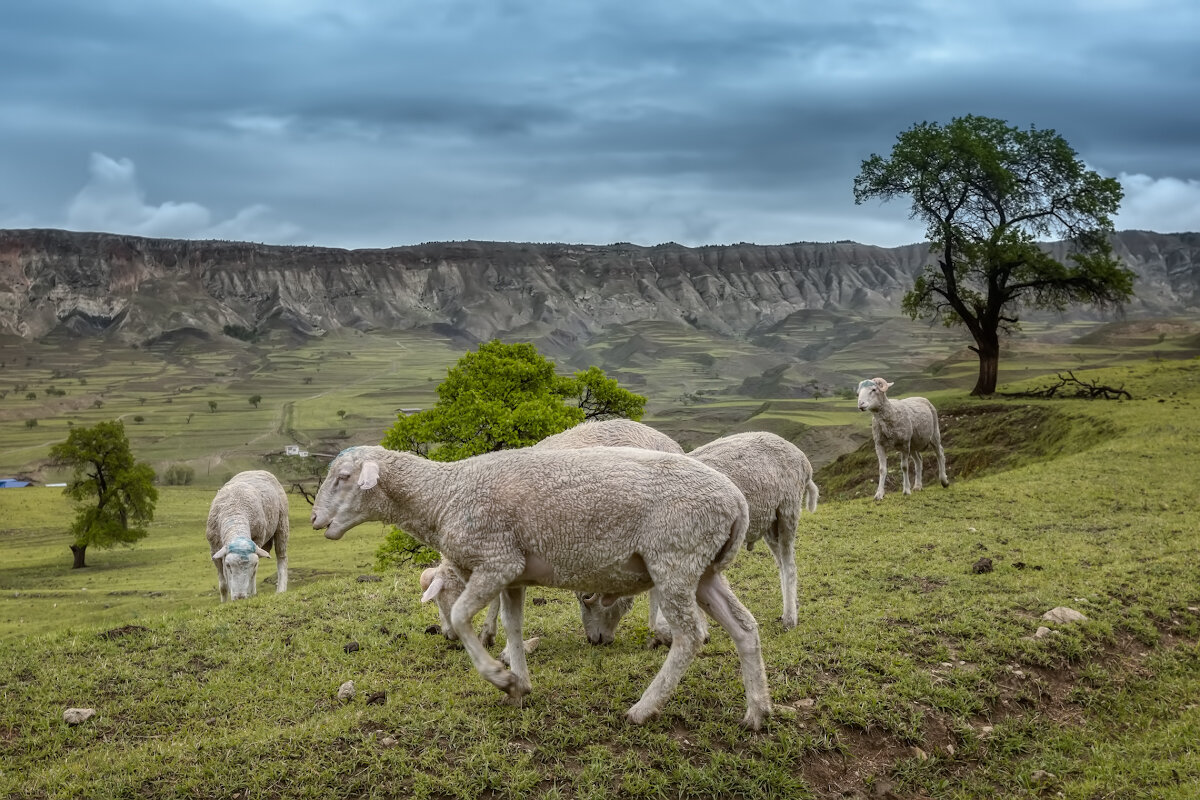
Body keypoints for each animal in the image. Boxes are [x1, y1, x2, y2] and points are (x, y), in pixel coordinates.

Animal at [206, 470, 290, 599]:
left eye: (254, 565)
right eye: (228, 565)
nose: (240, 597)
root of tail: (258, 470)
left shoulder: (258, 539)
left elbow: (253, 575)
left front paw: (250, 593)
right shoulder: (214, 549)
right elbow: (223, 585)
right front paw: (225, 600)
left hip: (282, 523)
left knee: (282, 558)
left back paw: (280, 589)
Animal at [314, 443, 772, 734]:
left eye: (343, 477)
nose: (317, 520)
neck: (443, 496)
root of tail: (736, 500)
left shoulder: (496, 559)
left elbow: (461, 617)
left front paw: (502, 679)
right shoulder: (512, 574)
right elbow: (514, 628)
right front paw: (520, 685)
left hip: (675, 556)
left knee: (690, 636)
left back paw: (644, 709)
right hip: (702, 568)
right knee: (745, 627)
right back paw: (757, 712)